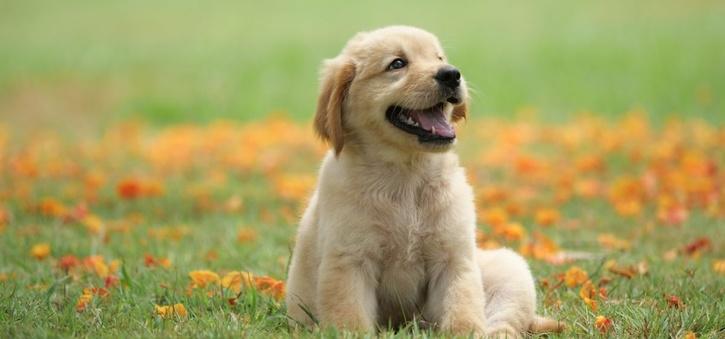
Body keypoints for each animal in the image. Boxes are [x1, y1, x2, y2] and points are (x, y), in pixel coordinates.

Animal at [286, 25, 564, 338]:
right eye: (397, 64)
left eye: (439, 57)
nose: (452, 74)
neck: (407, 175)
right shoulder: (349, 261)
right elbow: (351, 320)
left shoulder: (454, 259)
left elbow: (462, 312)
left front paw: (465, 330)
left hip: (509, 268)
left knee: (505, 322)